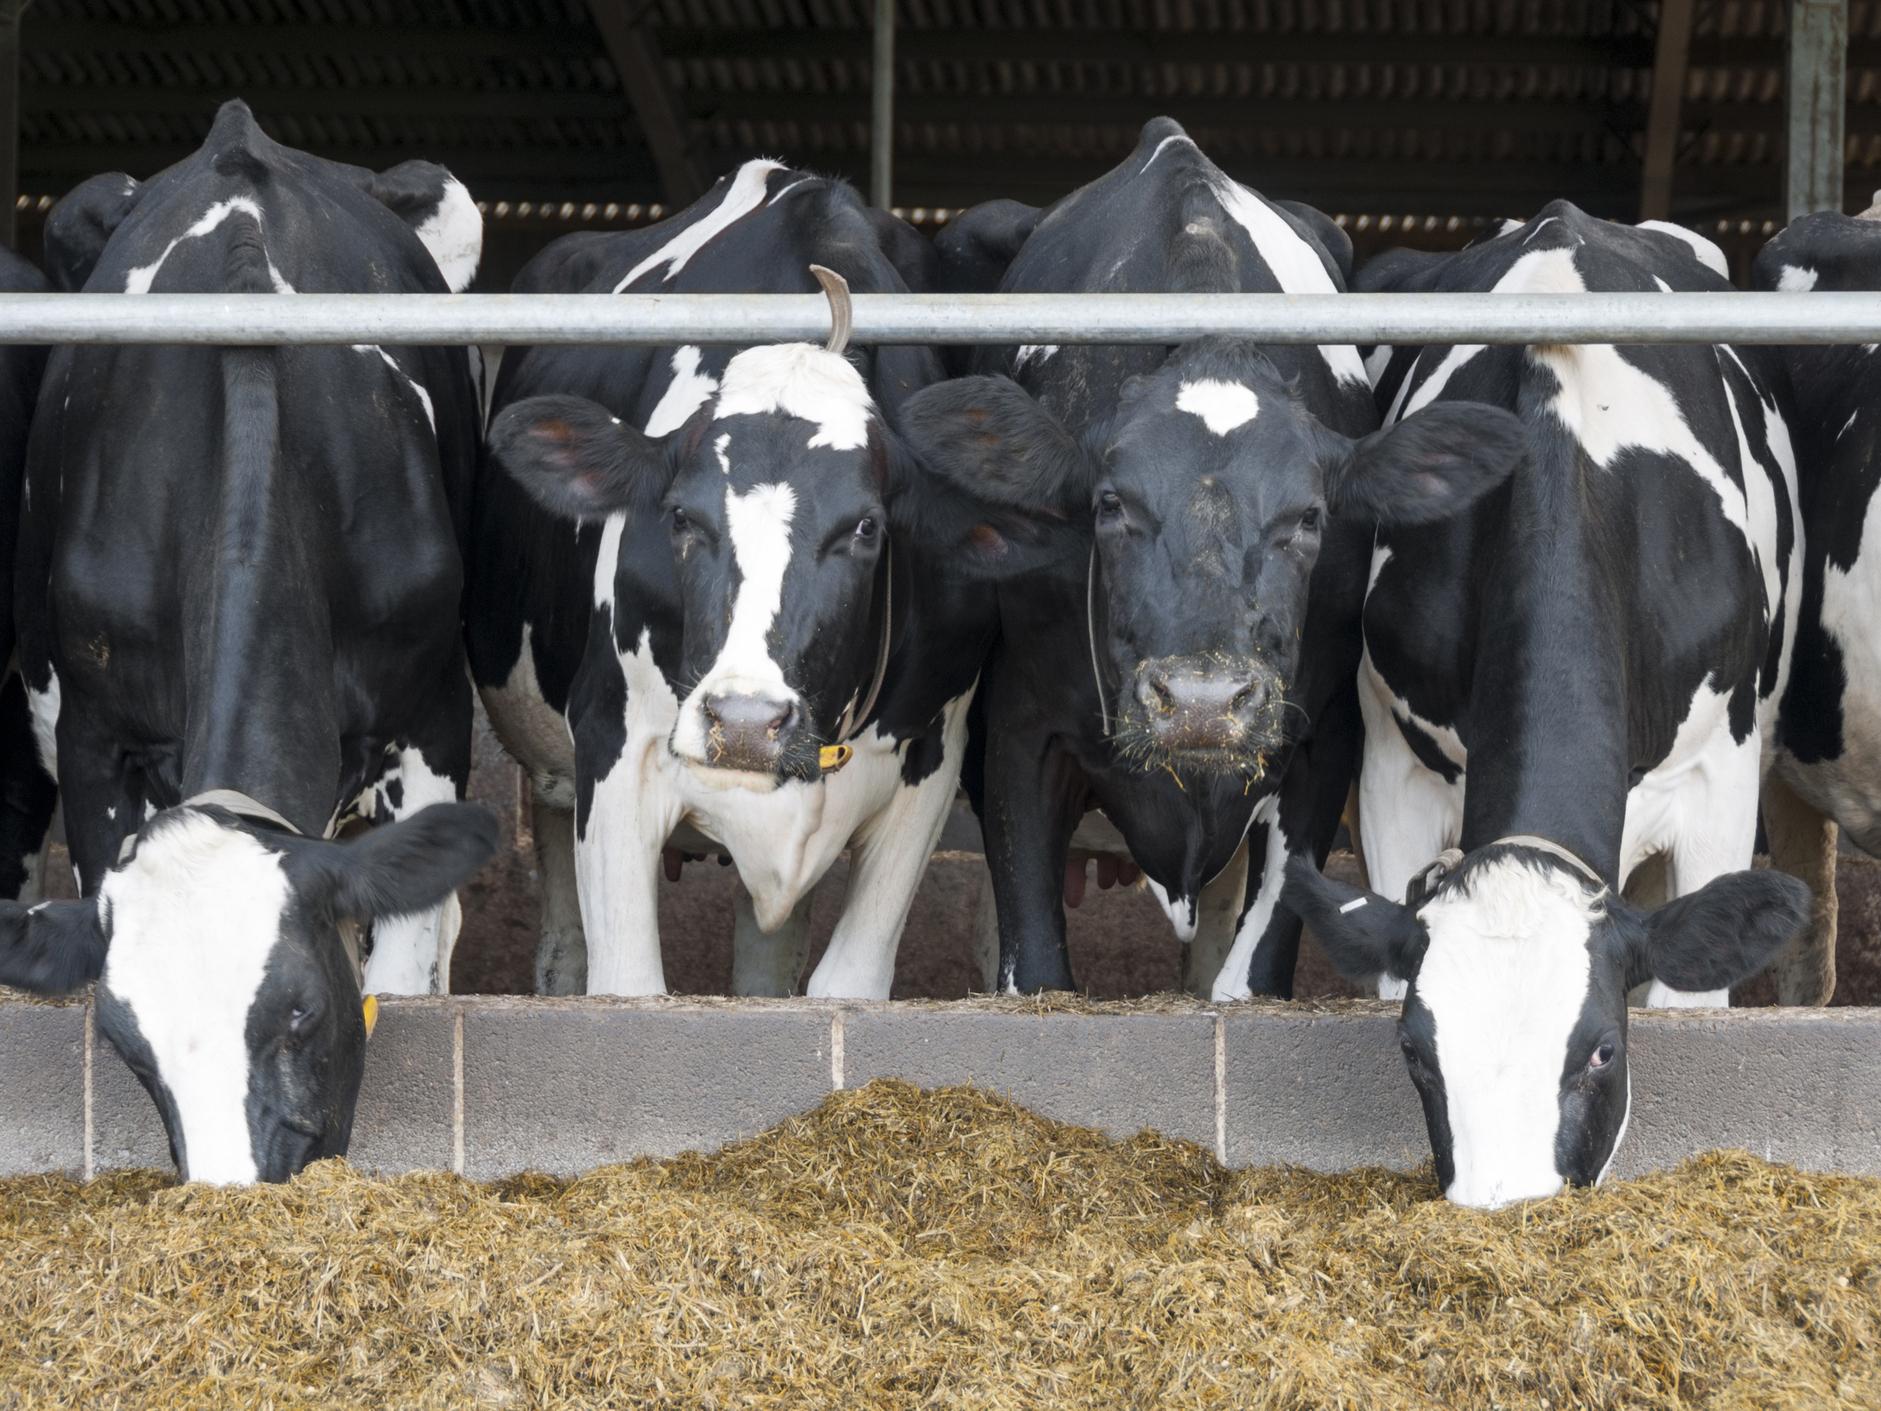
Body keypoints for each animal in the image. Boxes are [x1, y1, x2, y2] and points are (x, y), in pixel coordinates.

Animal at [0, 99, 500, 1181]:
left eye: (301, 1013)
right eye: (126, 1046)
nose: (232, 1190)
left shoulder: (434, 706)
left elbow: (408, 964)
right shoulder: (94, 733)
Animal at [477, 165, 993, 1000]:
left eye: (865, 528)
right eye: (680, 516)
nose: (746, 721)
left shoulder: (931, 761)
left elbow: (843, 985)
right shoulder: (612, 743)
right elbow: (626, 982)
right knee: (563, 948)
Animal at [902, 124, 1519, 1008]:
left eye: (1309, 517)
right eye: (1110, 504)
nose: (1201, 702)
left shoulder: (1322, 729)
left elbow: (1254, 969)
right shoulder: (1020, 721)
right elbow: (1035, 958)